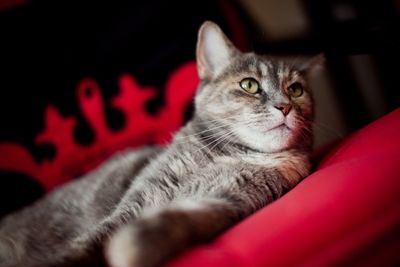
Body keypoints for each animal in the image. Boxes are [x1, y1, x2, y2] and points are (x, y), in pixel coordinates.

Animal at [0, 21, 320, 267]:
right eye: (249, 85)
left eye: (296, 90)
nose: (284, 106)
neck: (231, 154)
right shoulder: (141, 195)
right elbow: (92, 240)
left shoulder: (228, 200)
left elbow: (181, 221)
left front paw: (136, 245)